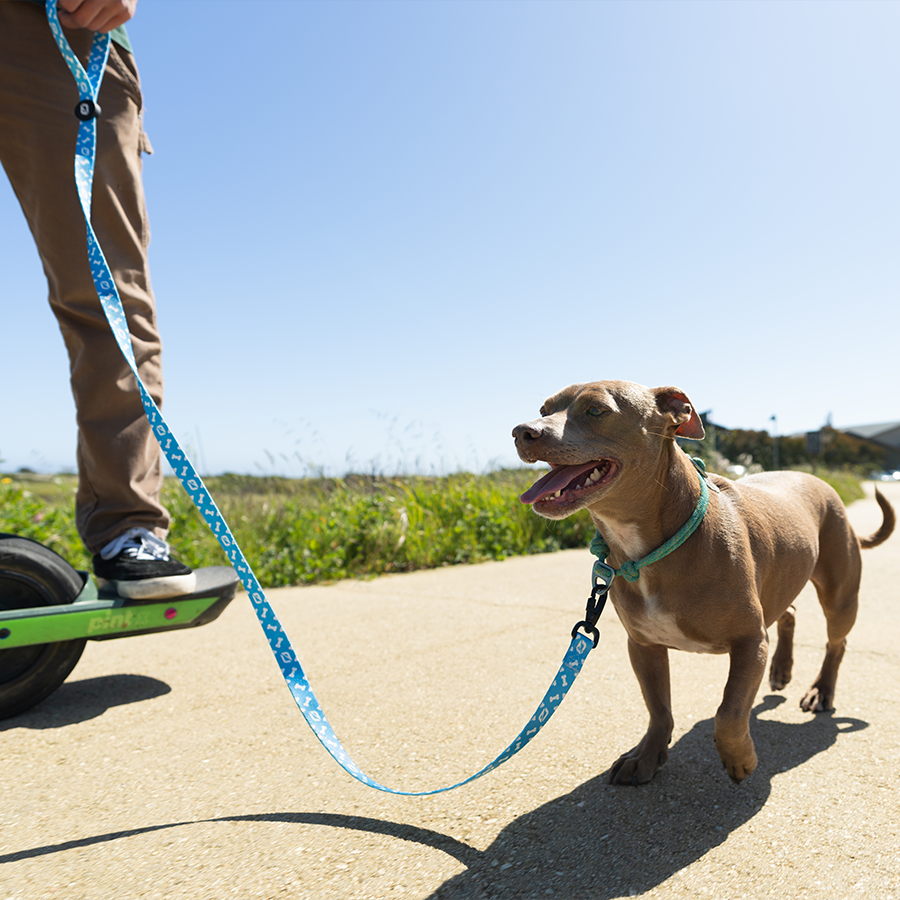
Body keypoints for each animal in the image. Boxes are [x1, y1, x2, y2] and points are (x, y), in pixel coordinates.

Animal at [512, 378, 892, 780]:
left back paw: (821, 690)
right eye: (543, 410)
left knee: (837, 643)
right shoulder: (643, 647)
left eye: (596, 410)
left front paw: (740, 758)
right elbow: (658, 707)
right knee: (788, 613)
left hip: (840, 595)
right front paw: (646, 754)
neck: (648, 550)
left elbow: (728, 712)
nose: (522, 432)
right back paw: (781, 670)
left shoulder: (749, 643)